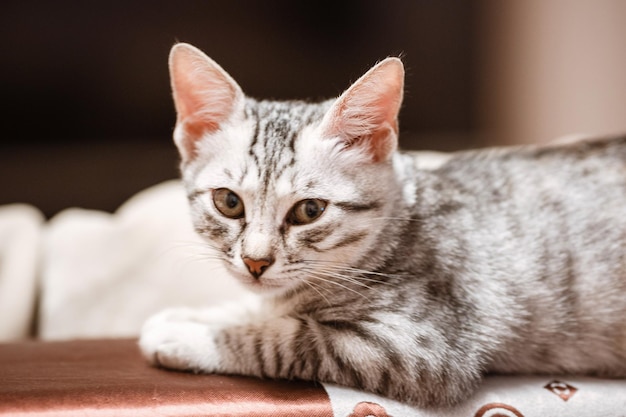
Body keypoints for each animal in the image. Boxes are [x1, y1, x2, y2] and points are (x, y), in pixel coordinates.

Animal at [139, 43, 624, 406]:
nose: (256, 262)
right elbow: (265, 310)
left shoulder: (419, 349)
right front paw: (202, 313)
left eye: (309, 211)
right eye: (228, 202)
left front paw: (189, 335)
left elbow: (285, 337)